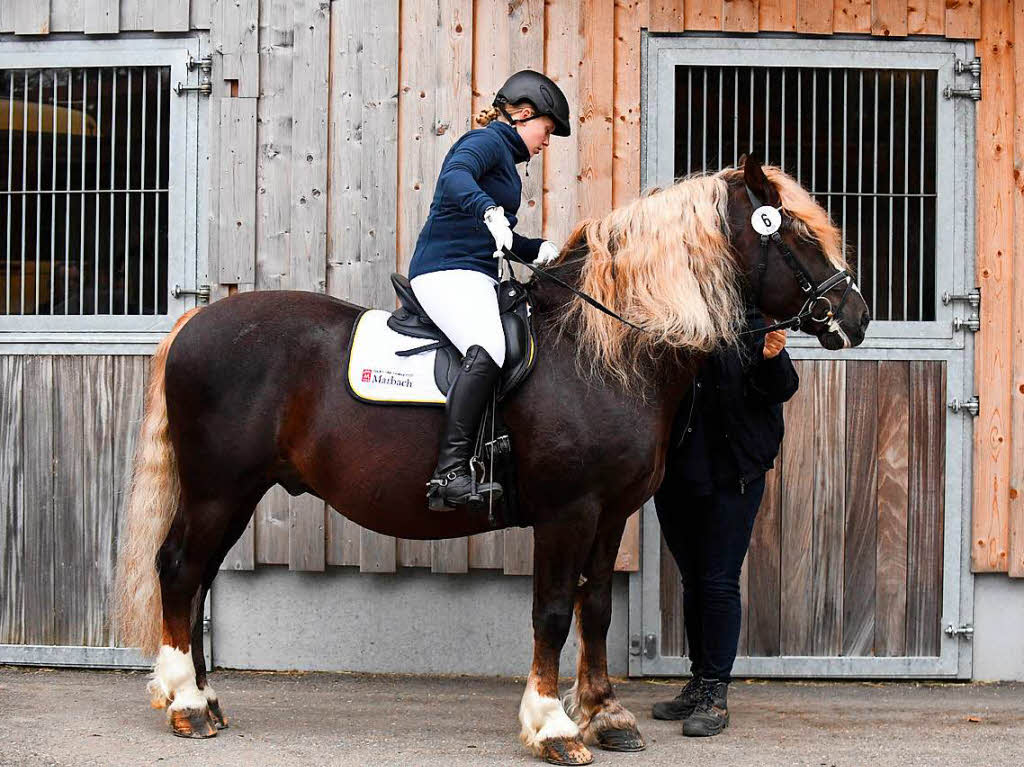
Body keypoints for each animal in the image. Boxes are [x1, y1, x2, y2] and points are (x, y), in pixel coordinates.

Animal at [114, 156, 864, 765]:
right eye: (795, 233)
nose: (853, 315)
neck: (600, 350)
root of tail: (196, 322)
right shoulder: (568, 512)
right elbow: (554, 611)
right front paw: (554, 726)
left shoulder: (612, 513)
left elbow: (597, 608)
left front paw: (605, 715)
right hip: (218, 489)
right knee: (179, 570)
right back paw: (186, 704)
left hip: (235, 493)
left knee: (198, 577)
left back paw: (205, 699)